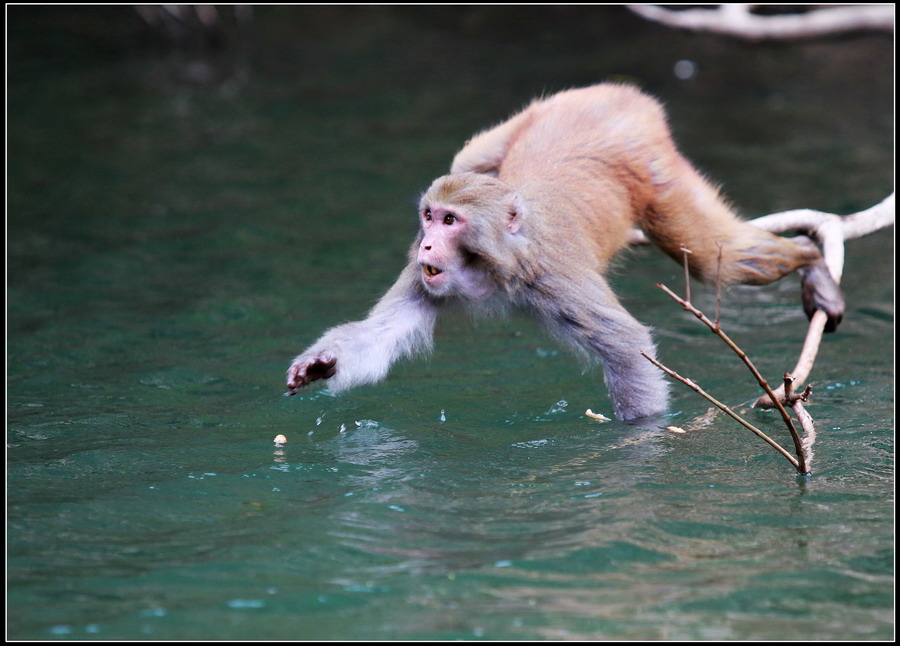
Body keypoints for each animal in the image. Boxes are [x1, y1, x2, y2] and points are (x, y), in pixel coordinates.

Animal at [286, 81, 844, 422]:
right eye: (429, 216)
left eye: (450, 221)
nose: (425, 241)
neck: (490, 269)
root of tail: (617, 95)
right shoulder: (419, 274)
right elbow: (379, 335)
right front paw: (321, 363)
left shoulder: (550, 276)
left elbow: (626, 346)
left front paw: (640, 437)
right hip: (536, 115)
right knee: (468, 158)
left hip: (654, 166)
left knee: (712, 255)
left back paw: (811, 259)